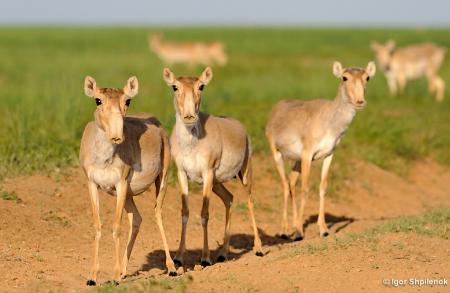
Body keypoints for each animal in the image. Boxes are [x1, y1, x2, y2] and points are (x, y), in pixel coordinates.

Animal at [80, 75, 177, 286]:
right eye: (98, 100)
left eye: (127, 101)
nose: (117, 135)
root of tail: (157, 124)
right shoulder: (92, 185)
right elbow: (98, 226)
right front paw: (92, 277)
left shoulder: (121, 183)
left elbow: (116, 227)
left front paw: (115, 276)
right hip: (128, 196)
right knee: (137, 218)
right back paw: (125, 270)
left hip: (161, 179)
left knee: (157, 213)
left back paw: (172, 268)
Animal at [163, 66, 264, 266]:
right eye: (174, 86)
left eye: (201, 86)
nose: (189, 116)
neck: (191, 144)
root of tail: (240, 127)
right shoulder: (182, 173)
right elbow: (185, 213)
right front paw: (178, 258)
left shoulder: (207, 173)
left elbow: (204, 214)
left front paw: (205, 258)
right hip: (217, 183)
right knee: (230, 198)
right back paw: (223, 253)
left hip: (244, 174)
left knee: (250, 201)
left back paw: (258, 248)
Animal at [268, 61, 376, 240]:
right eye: (344, 77)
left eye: (367, 77)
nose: (360, 101)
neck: (330, 120)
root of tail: (276, 108)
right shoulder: (307, 155)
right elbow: (305, 189)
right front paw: (299, 232)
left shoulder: (329, 155)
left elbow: (322, 188)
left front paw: (323, 229)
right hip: (277, 154)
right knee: (284, 184)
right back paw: (284, 230)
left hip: (297, 161)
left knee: (291, 181)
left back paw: (293, 224)